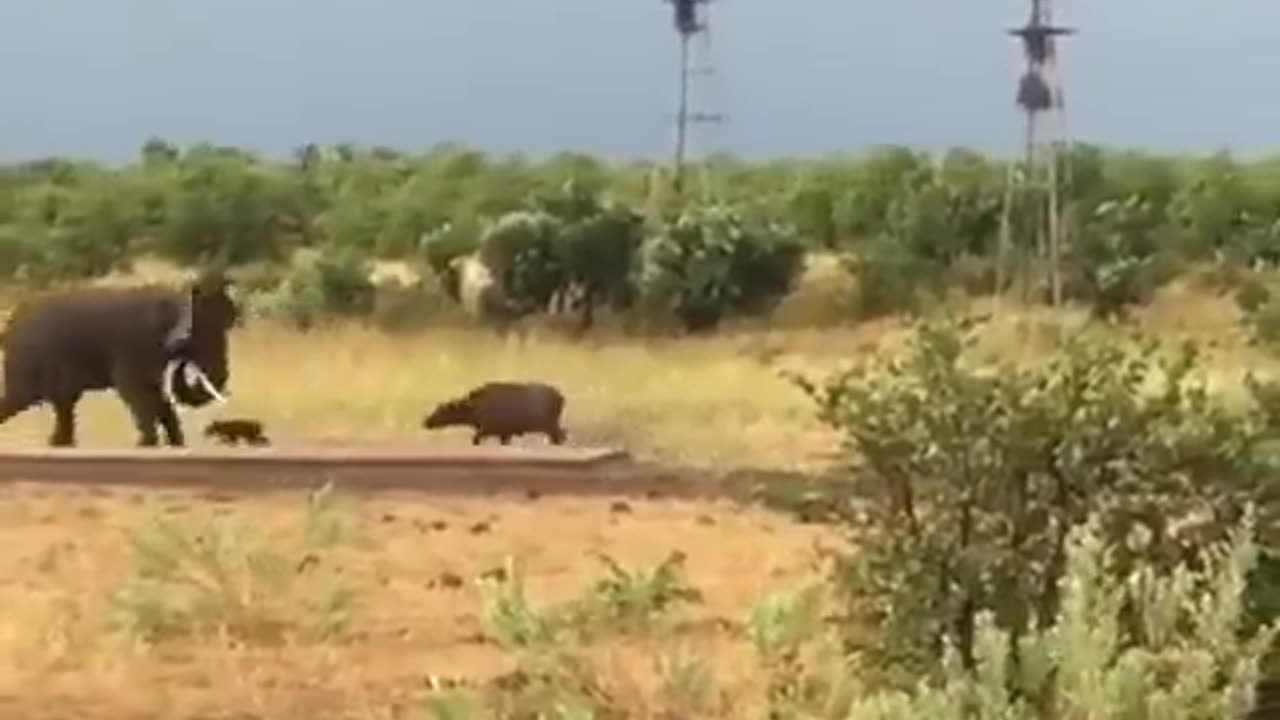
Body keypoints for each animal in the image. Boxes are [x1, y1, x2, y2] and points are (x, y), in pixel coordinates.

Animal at [0, 271, 240, 445]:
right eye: (199, 333)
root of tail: (10, 323)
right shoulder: (132, 347)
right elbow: (136, 393)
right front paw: (147, 444)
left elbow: (160, 401)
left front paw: (174, 445)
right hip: (28, 360)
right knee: (20, 400)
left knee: (63, 406)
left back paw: (58, 443)